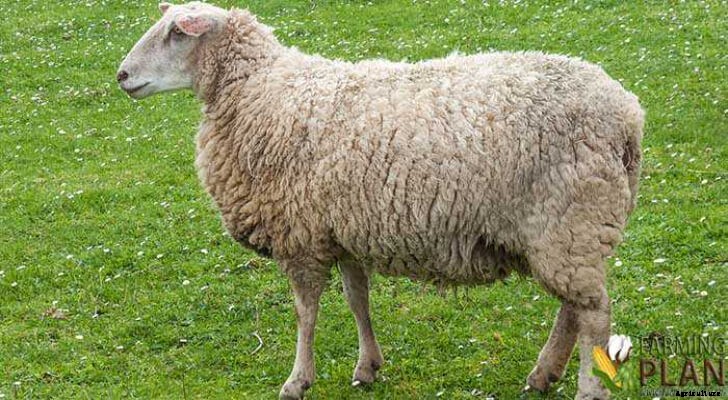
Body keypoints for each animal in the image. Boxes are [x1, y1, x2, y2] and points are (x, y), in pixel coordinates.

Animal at [117, 2, 644, 399]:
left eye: (176, 34)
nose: (122, 75)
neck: (258, 91)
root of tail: (627, 114)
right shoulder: (341, 228)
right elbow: (357, 300)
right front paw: (367, 366)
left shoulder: (300, 236)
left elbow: (305, 313)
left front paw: (297, 381)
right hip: (567, 232)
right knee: (575, 308)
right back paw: (543, 375)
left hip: (570, 220)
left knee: (594, 312)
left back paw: (587, 388)